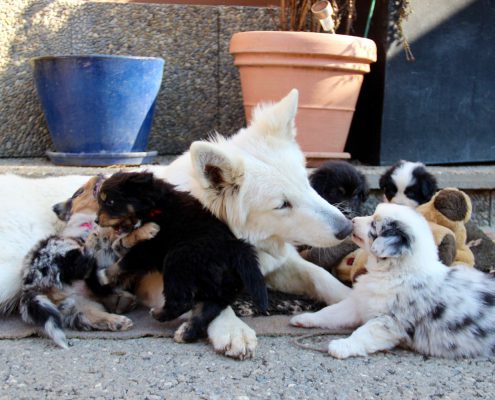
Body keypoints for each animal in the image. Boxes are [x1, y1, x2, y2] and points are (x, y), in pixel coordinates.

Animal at [96, 170, 268, 342]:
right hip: (223, 284)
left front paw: (104, 275)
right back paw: (186, 332)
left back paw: (160, 314)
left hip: (178, 258)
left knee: (183, 301)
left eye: (110, 202)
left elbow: (125, 262)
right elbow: (122, 245)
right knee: (209, 307)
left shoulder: (151, 248)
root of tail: (235, 247)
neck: (156, 205)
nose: (96, 220)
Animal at [290, 203, 495, 360]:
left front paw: (342, 346)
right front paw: (305, 318)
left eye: (374, 225)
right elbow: (331, 312)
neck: (395, 272)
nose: (352, 221)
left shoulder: (389, 322)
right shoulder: (358, 304)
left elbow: (363, 333)